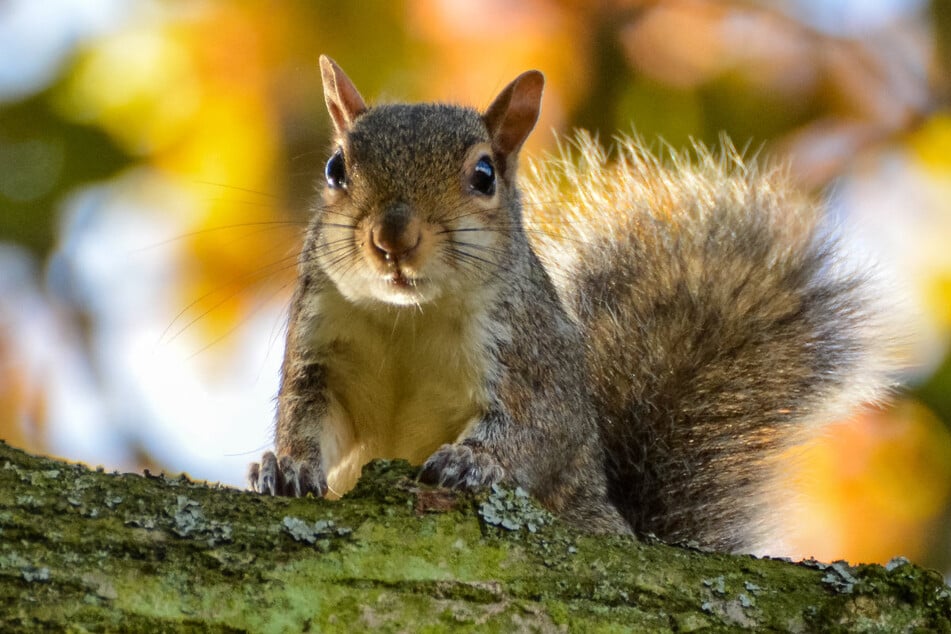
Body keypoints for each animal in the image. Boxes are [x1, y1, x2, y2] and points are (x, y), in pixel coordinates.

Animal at [245, 56, 900, 552]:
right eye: (336, 168)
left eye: (484, 174)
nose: (392, 237)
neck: (408, 318)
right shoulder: (321, 349)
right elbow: (309, 418)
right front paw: (286, 466)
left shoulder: (529, 356)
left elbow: (538, 430)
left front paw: (470, 462)